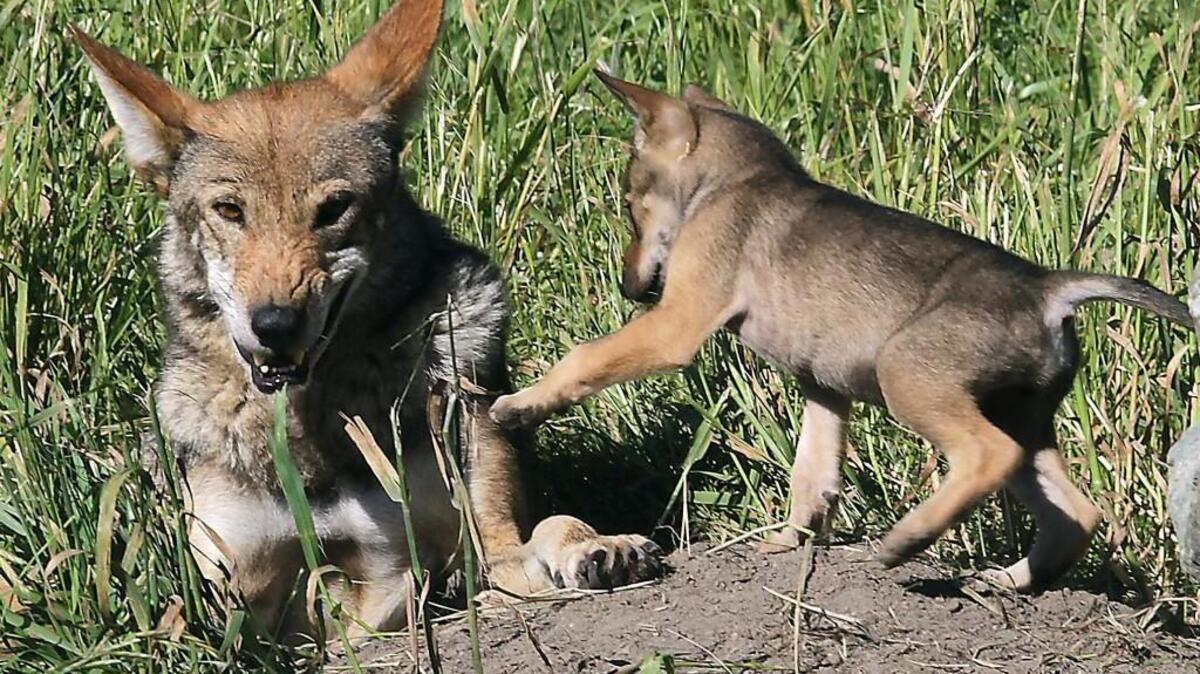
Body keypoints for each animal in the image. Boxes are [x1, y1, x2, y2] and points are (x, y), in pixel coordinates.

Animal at [74, 0, 661, 636]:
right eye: (229, 211)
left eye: (333, 208)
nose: (274, 324)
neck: (318, 427)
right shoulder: (230, 594)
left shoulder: (477, 552)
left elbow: (553, 527)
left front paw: (600, 545)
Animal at [490, 72, 1192, 592]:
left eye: (630, 204)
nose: (629, 287)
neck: (734, 181)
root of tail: (1047, 288)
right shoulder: (824, 390)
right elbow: (812, 475)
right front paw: (786, 543)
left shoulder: (675, 325)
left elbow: (582, 358)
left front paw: (520, 406)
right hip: (1024, 422)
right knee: (1077, 514)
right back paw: (1008, 579)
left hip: (913, 381)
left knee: (985, 458)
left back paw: (907, 541)